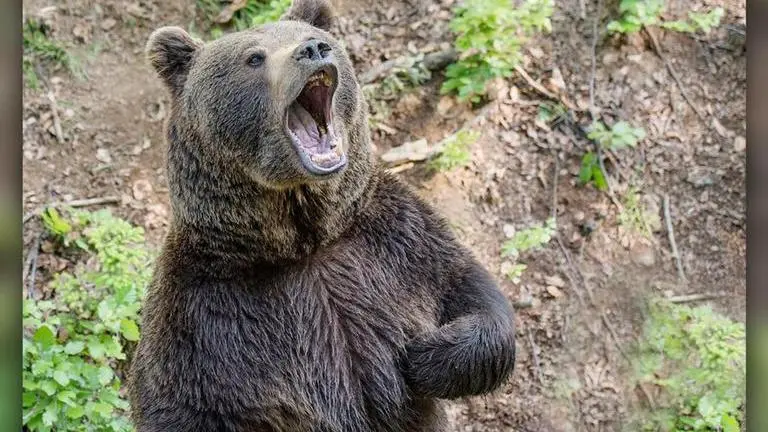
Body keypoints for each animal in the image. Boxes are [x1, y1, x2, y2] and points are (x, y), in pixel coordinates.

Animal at [128, 0, 516, 430]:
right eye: (254, 57)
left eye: (316, 38)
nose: (313, 50)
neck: (305, 241)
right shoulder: (204, 317)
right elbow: (180, 404)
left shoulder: (398, 243)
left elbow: (471, 291)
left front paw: (424, 356)